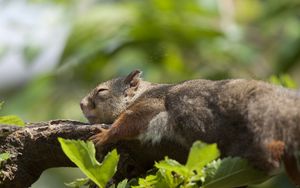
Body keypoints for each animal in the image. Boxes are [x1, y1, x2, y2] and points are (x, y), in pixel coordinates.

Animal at [80, 69, 300, 185]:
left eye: (101, 91)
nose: (81, 104)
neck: (141, 94)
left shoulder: (151, 104)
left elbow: (131, 120)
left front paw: (106, 135)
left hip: (256, 121)